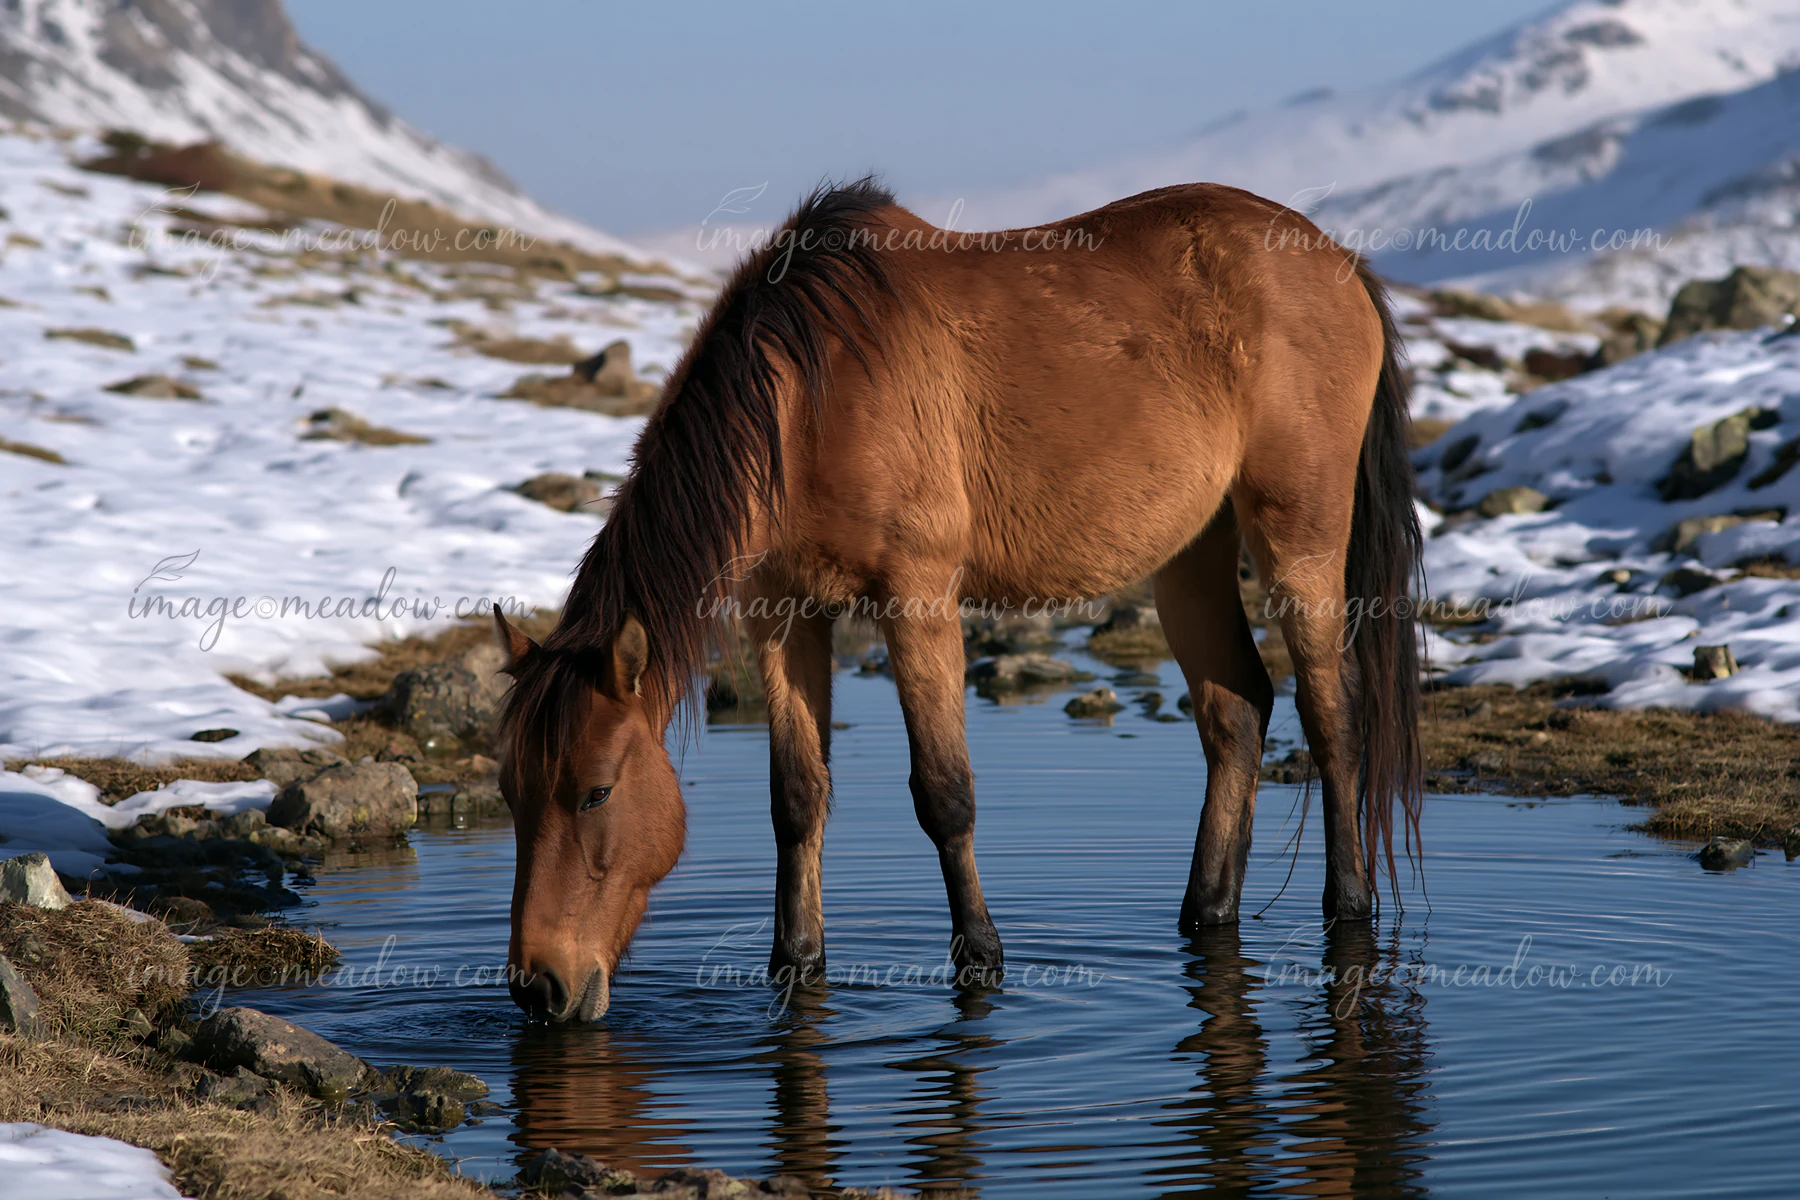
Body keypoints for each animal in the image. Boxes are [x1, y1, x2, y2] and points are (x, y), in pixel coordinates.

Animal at [492, 178, 1423, 1022]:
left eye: (595, 793)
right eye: (510, 791)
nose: (540, 988)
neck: (811, 399)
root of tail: (1339, 263)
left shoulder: (918, 597)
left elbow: (944, 793)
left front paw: (980, 960)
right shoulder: (783, 611)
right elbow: (796, 796)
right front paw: (796, 964)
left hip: (1298, 536)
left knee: (1332, 717)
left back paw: (1348, 910)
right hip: (1191, 554)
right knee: (1237, 712)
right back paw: (1207, 914)